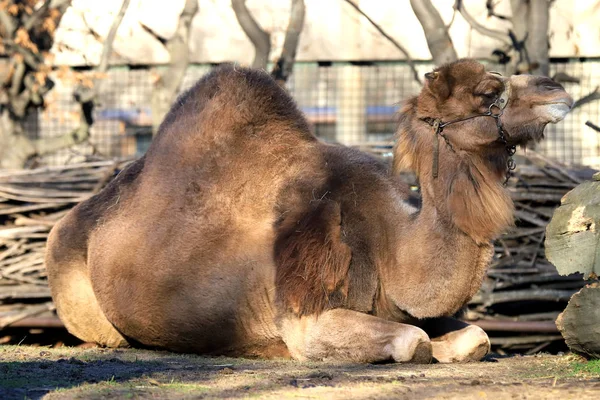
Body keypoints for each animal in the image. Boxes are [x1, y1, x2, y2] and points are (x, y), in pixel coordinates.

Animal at [43, 59, 572, 362]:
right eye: (488, 92)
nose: (558, 91)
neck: (390, 243)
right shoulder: (306, 315)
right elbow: (410, 342)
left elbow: (476, 338)